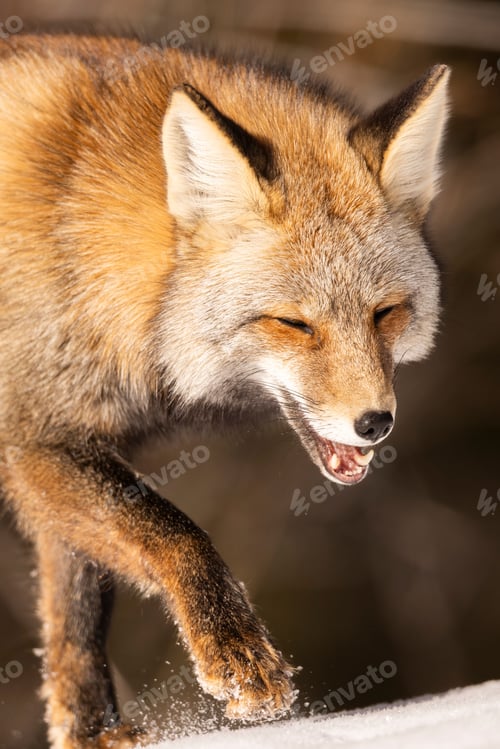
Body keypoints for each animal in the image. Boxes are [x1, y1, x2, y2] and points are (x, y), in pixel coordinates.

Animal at [0, 33, 450, 749]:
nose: (375, 423)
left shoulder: (70, 440)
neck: (67, 225)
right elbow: (174, 532)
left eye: (385, 313)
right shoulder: (33, 439)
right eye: (294, 323)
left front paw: (92, 734)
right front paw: (236, 651)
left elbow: (74, 623)